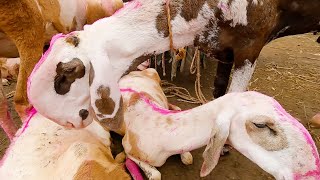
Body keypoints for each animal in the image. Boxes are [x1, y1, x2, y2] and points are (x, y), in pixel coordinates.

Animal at [26, 0, 320, 131]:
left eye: (66, 75)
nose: (67, 123)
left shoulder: (249, 46)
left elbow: (234, 96)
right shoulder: (223, 50)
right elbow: (219, 94)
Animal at [118, 68, 320, 179]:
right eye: (261, 125)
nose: (313, 173)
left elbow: (188, 159)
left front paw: (185, 155)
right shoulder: (128, 147)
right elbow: (156, 174)